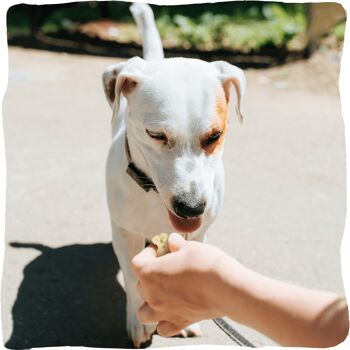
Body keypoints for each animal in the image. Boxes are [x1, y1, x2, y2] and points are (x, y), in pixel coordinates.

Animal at [102, 3, 246, 348]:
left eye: (214, 136)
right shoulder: (124, 230)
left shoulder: (197, 235)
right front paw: (140, 321)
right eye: (156, 135)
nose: (191, 207)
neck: (153, 194)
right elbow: (132, 275)